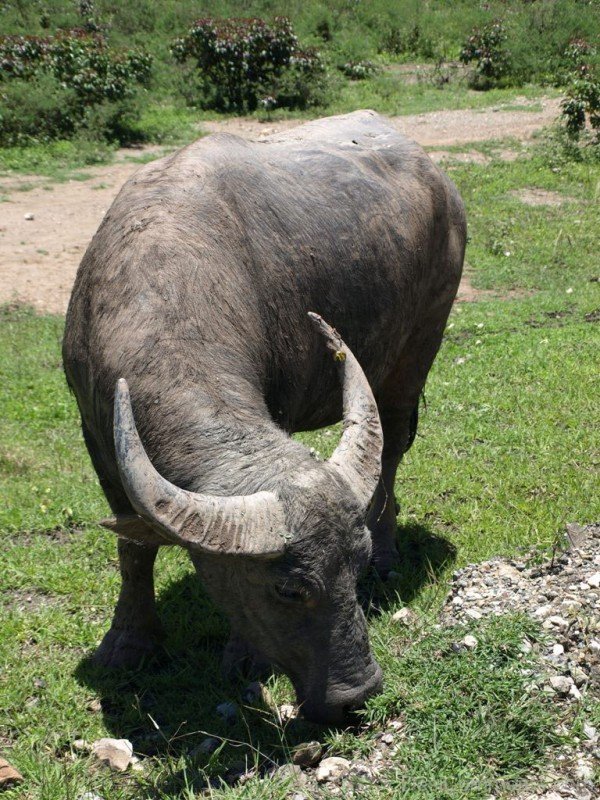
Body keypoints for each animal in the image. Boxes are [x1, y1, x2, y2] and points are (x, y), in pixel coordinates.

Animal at [64, 109, 464, 728]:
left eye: (352, 569)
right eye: (288, 590)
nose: (357, 694)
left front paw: (246, 657)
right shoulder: (96, 436)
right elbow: (134, 549)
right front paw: (129, 643)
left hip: (418, 347)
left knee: (395, 446)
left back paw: (391, 548)